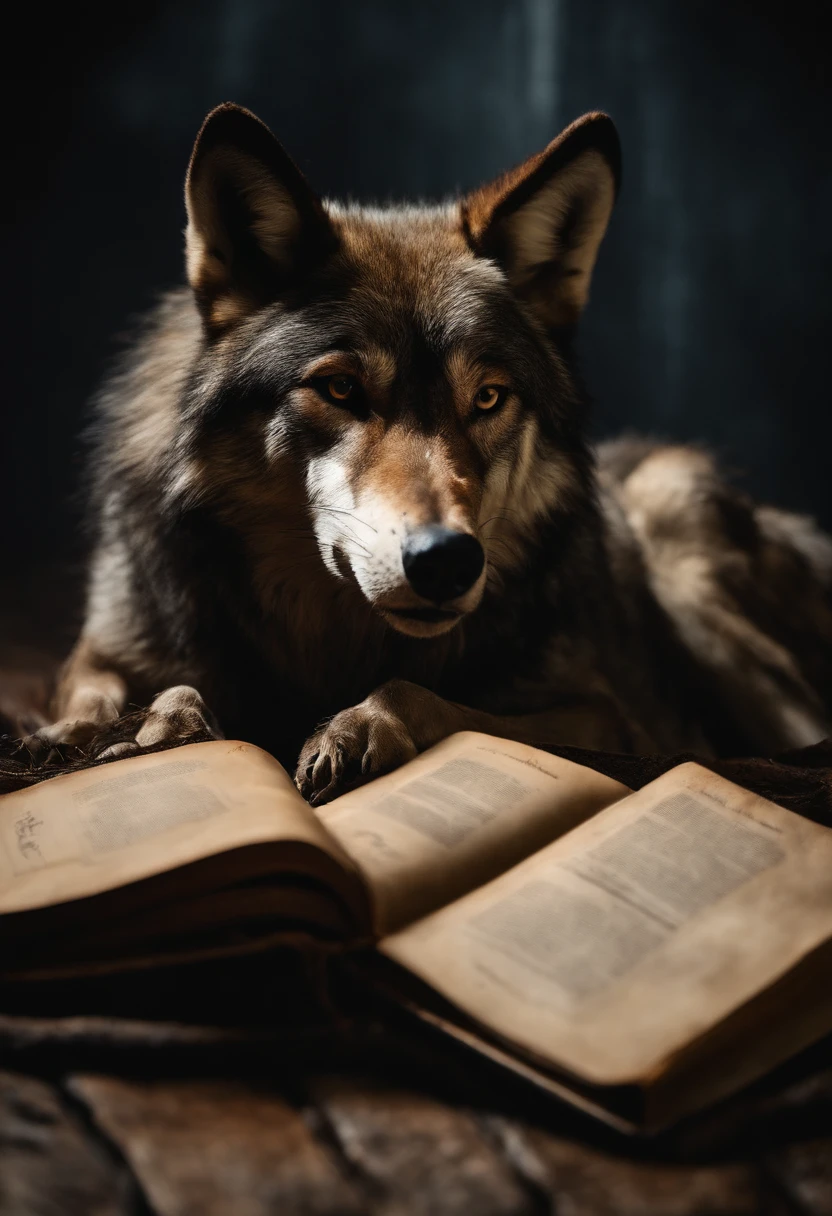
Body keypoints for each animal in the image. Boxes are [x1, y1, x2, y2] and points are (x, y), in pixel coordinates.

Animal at [38, 104, 832, 802]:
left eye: (487, 398)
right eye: (341, 388)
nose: (448, 561)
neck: (326, 645)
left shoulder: (611, 716)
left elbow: (424, 694)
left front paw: (361, 726)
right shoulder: (102, 651)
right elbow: (125, 693)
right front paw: (141, 729)